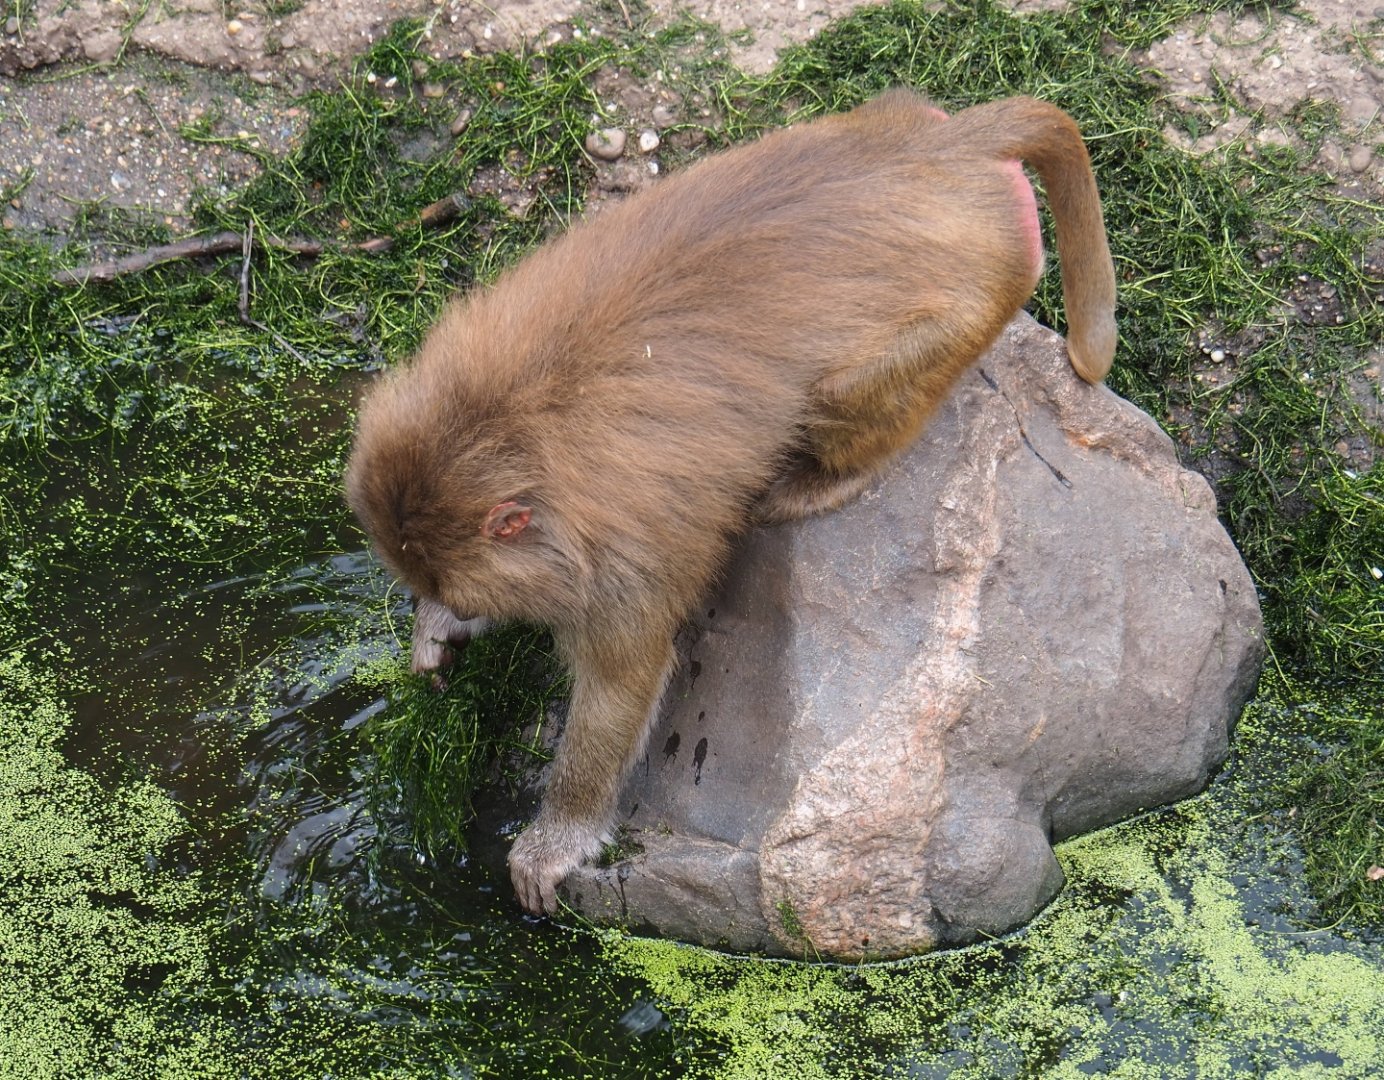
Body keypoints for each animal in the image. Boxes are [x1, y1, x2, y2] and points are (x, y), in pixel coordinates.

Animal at [345, 89, 1117, 916]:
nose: (444, 605)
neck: (504, 424)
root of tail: (951, 151)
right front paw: (439, 631)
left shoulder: (619, 570)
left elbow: (620, 686)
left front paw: (557, 837)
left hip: (974, 297)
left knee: (845, 395)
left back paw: (824, 479)